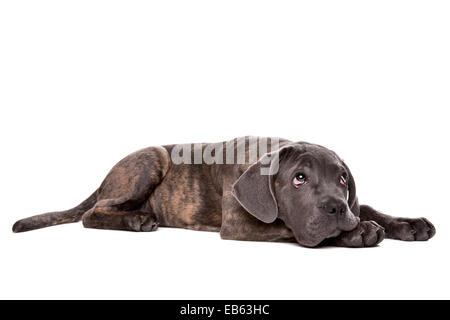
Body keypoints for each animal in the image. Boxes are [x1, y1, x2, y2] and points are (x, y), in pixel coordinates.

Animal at [12, 137, 436, 248]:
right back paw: (137, 219)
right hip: (150, 159)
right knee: (92, 213)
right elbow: (289, 227)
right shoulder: (238, 224)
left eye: (343, 179)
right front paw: (358, 231)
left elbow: (371, 207)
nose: (336, 209)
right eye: (299, 179)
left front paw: (408, 223)